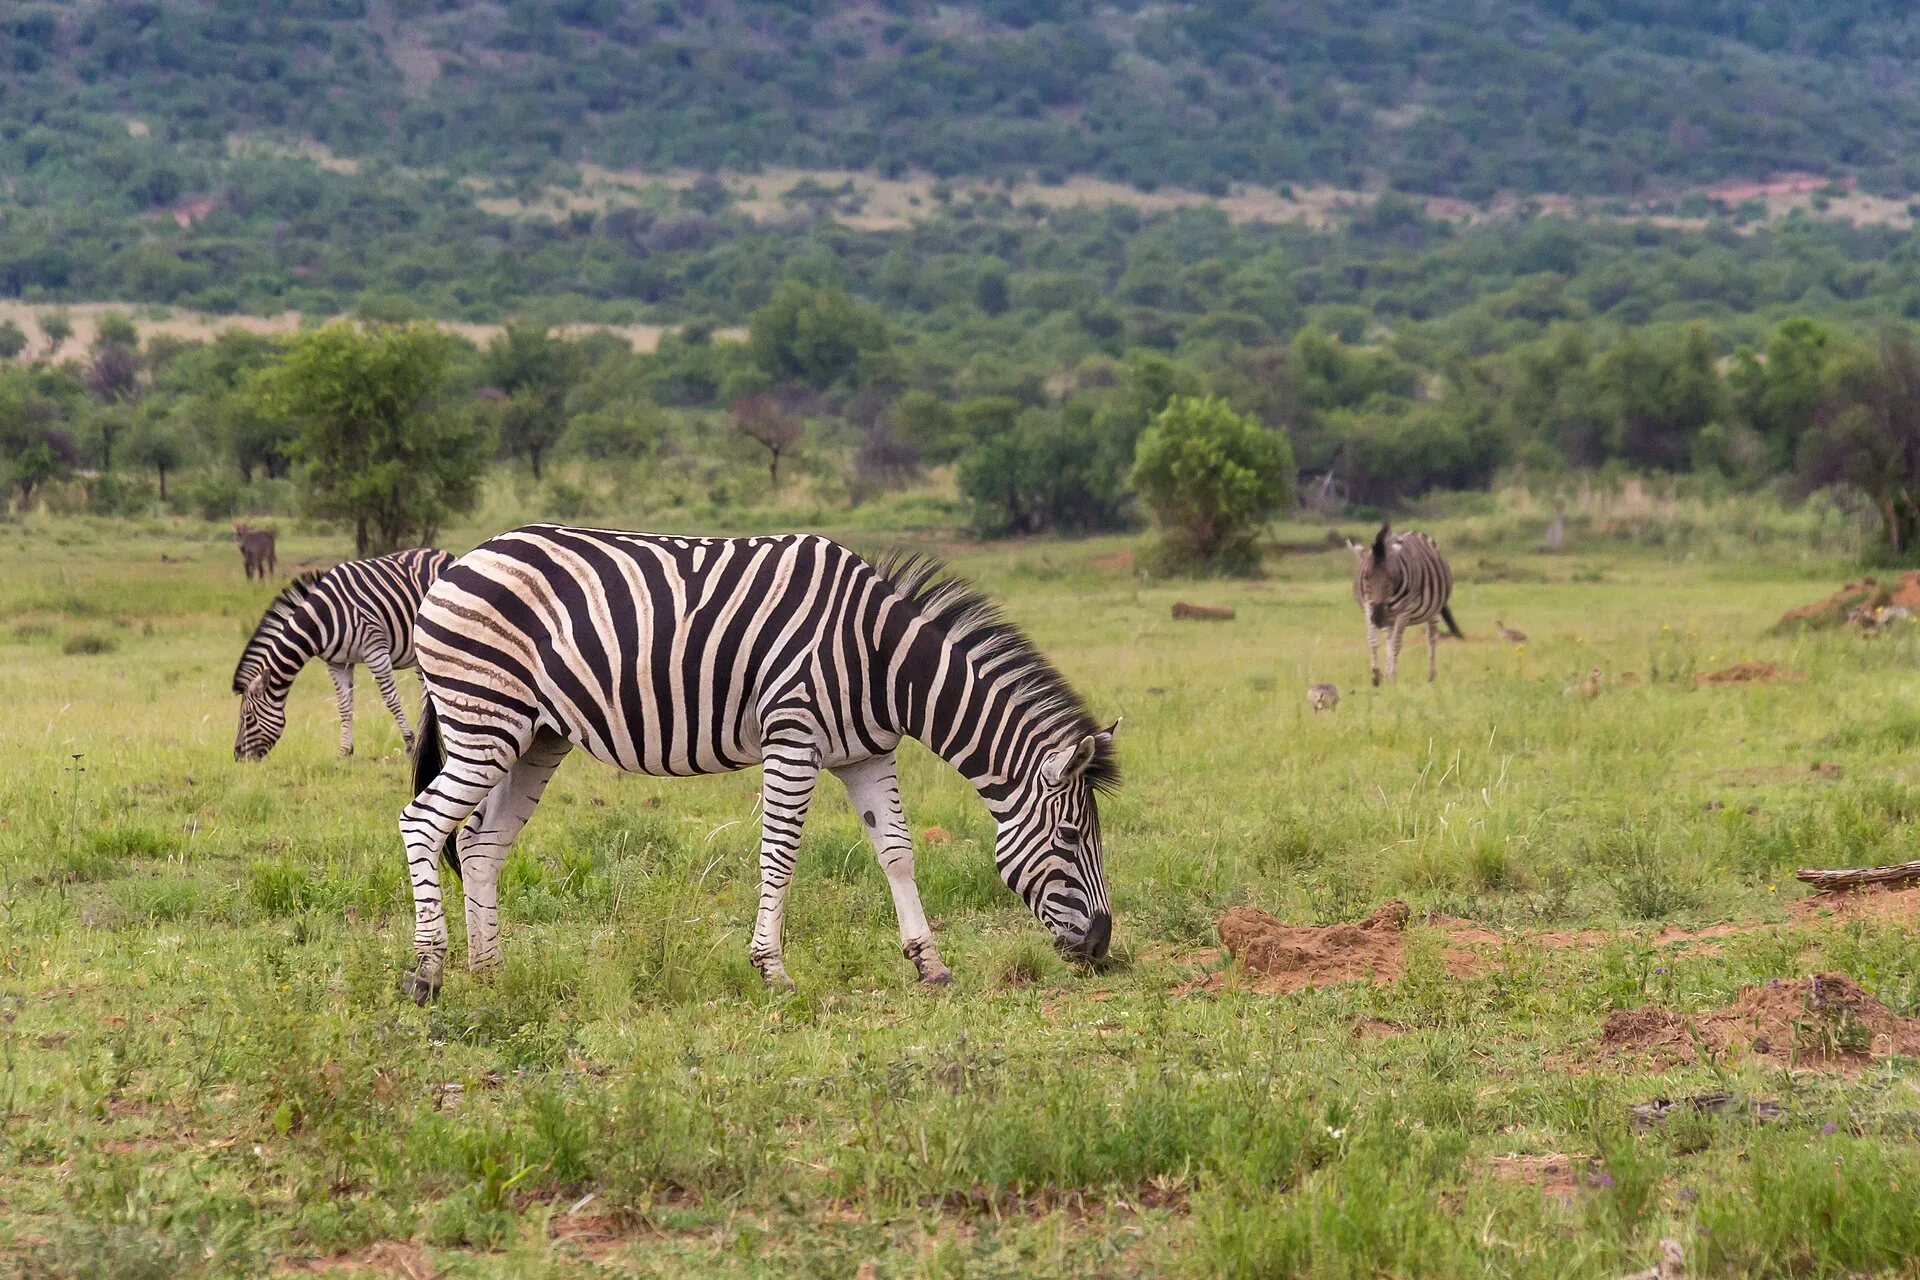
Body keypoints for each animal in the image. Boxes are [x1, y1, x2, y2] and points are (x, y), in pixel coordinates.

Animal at [232, 548, 455, 761]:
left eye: (247, 717)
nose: (237, 756)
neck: (320, 619)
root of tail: (445, 554)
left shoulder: (375, 650)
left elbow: (390, 699)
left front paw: (410, 744)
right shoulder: (338, 663)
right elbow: (344, 706)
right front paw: (345, 752)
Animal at [397, 524, 1120, 1003]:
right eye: (1070, 837)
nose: (1102, 948)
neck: (882, 661)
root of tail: (460, 562)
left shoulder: (867, 754)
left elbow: (897, 853)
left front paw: (929, 963)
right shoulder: (793, 738)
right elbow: (780, 857)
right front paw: (772, 970)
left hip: (533, 734)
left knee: (481, 844)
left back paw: (490, 972)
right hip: (483, 720)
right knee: (423, 823)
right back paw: (429, 974)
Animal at [1348, 522, 1462, 685]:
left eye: (1391, 577)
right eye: (1365, 577)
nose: (1378, 618)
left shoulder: (1404, 612)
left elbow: (1396, 645)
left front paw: (1392, 676)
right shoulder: (1369, 608)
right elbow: (1374, 641)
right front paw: (1376, 675)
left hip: (1433, 611)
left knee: (1431, 639)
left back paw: (1431, 676)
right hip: (1389, 618)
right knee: (1389, 640)